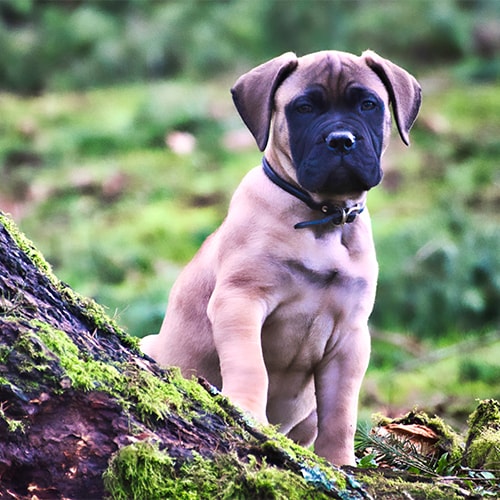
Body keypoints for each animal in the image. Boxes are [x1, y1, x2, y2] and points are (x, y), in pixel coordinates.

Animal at [142, 49, 422, 464]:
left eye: (368, 105)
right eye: (303, 108)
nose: (341, 140)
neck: (323, 217)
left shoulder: (351, 337)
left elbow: (341, 411)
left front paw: (339, 464)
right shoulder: (240, 301)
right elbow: (251, 366)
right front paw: (247, 413)